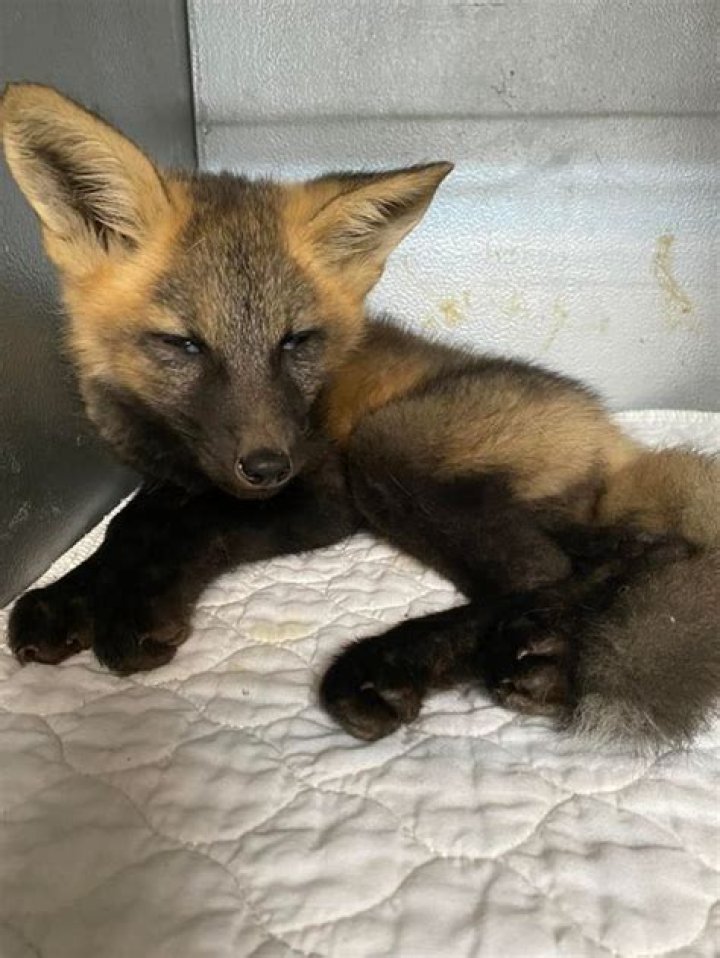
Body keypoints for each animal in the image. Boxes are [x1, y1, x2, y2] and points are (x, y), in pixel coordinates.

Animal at [2, 83, 718, 750]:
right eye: (184, 345)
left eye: (296, 341)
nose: (267, 466)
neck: (173, 446)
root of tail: (611, 429)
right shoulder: (173, 479)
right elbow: (129, 527)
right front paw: (68, 598)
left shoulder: (322, 497)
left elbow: (198, 531)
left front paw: (139, 607)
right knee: (626, 552)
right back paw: (546, 663)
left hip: (387, 447)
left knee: (549, 571)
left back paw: (394, 664)